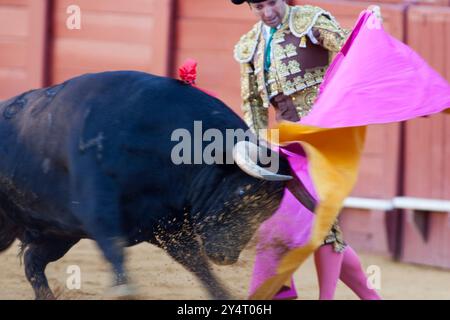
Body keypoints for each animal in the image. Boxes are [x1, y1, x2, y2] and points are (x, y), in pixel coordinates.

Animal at [0, 71, 316, 298]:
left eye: (268, 212)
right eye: (241, 193)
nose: (226, 257)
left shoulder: (168, 225)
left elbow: (197, 265)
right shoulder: (98, 206)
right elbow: (114, 248)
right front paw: (125, 291)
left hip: (59, 233)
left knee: (33, 262)